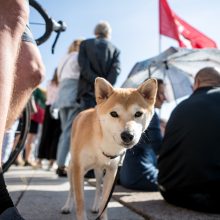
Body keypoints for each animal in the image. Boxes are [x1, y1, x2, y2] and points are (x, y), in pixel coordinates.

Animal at [62, 76, 158, 219]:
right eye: (114, 113)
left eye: (138, 114)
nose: (127, 135)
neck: (102, 142)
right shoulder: (79, 168)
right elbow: (80, 202)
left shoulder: (112, 171)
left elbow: (105, 201)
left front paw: (101, 212)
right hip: (72, 168)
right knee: (71, 190)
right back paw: (67, 206)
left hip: (98, 170)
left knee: (97, 187)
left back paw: (95, 206)